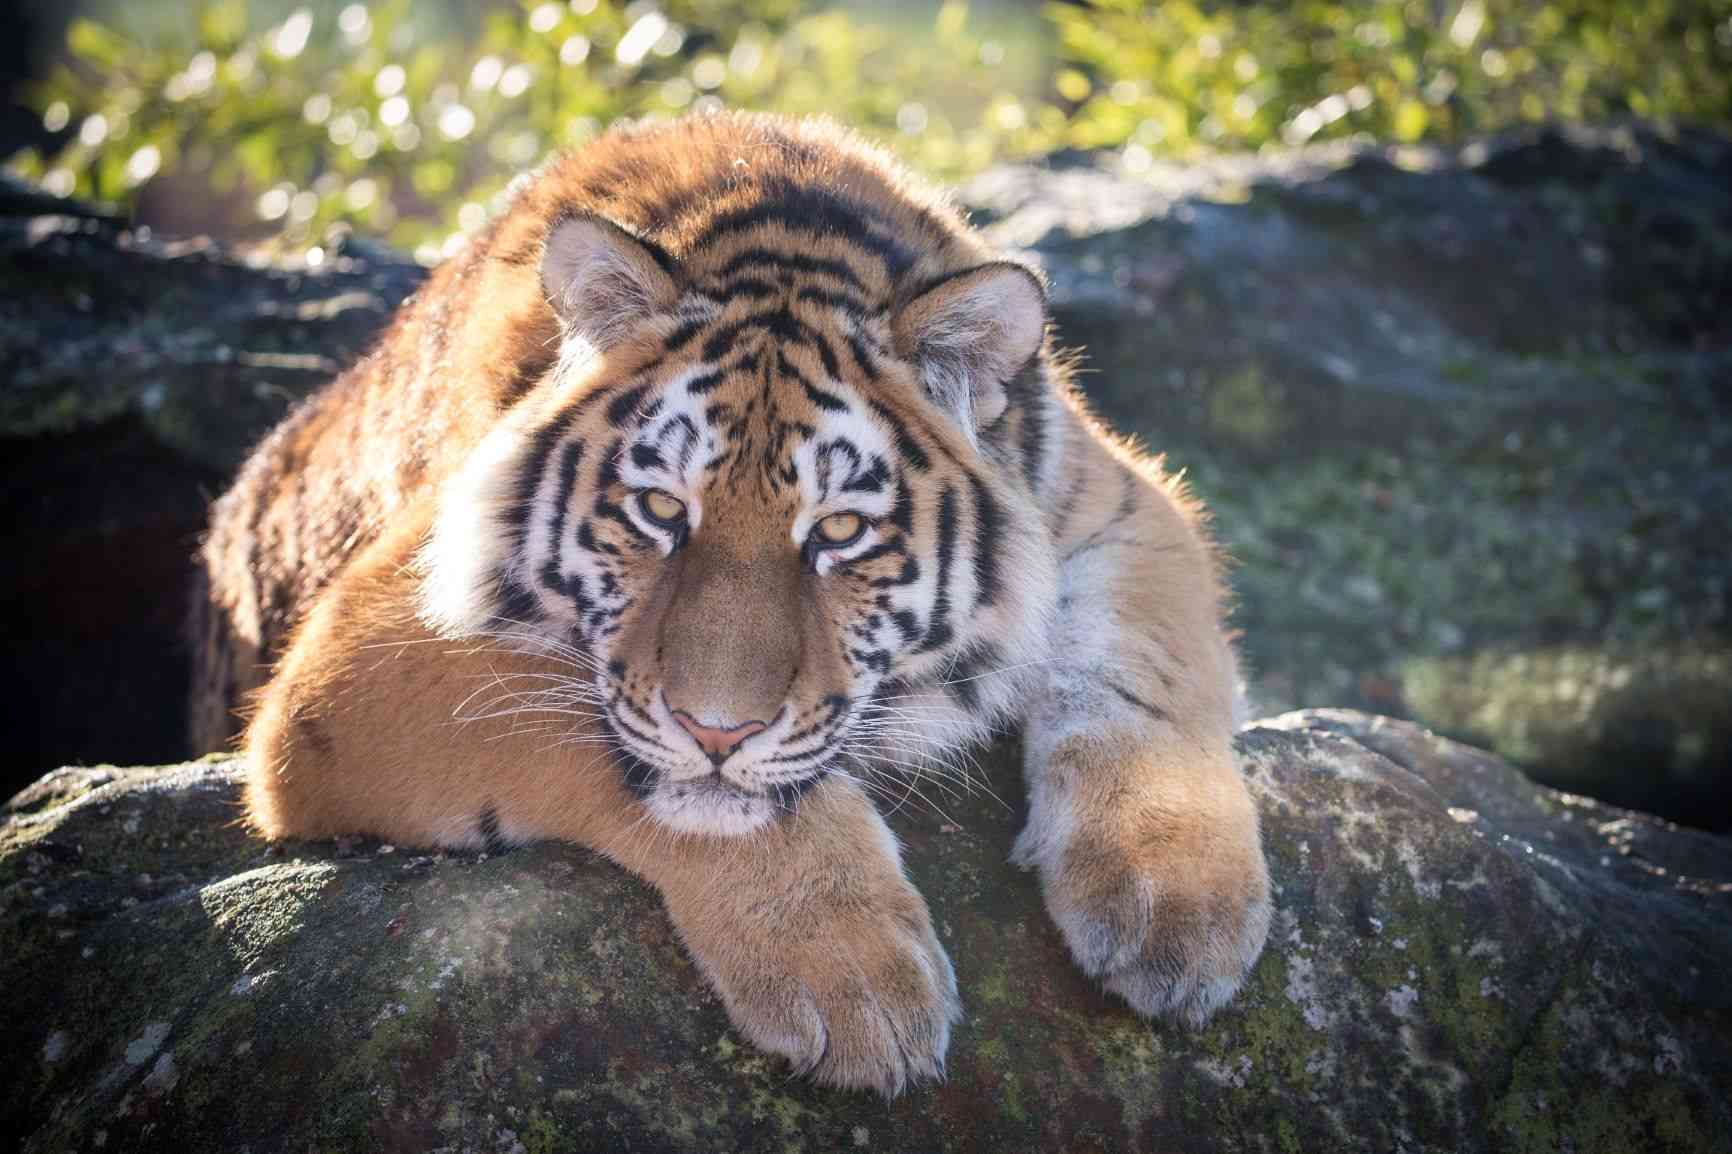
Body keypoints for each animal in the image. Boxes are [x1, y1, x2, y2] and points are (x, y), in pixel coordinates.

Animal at [193, 112, 1274, 1095]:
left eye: (840, 531)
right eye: (663, 509)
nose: (717, 730)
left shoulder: (1120, 500)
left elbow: (1144, 673)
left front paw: (1178, 911)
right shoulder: (362, 649)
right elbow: (633, 754)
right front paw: (852, 978)